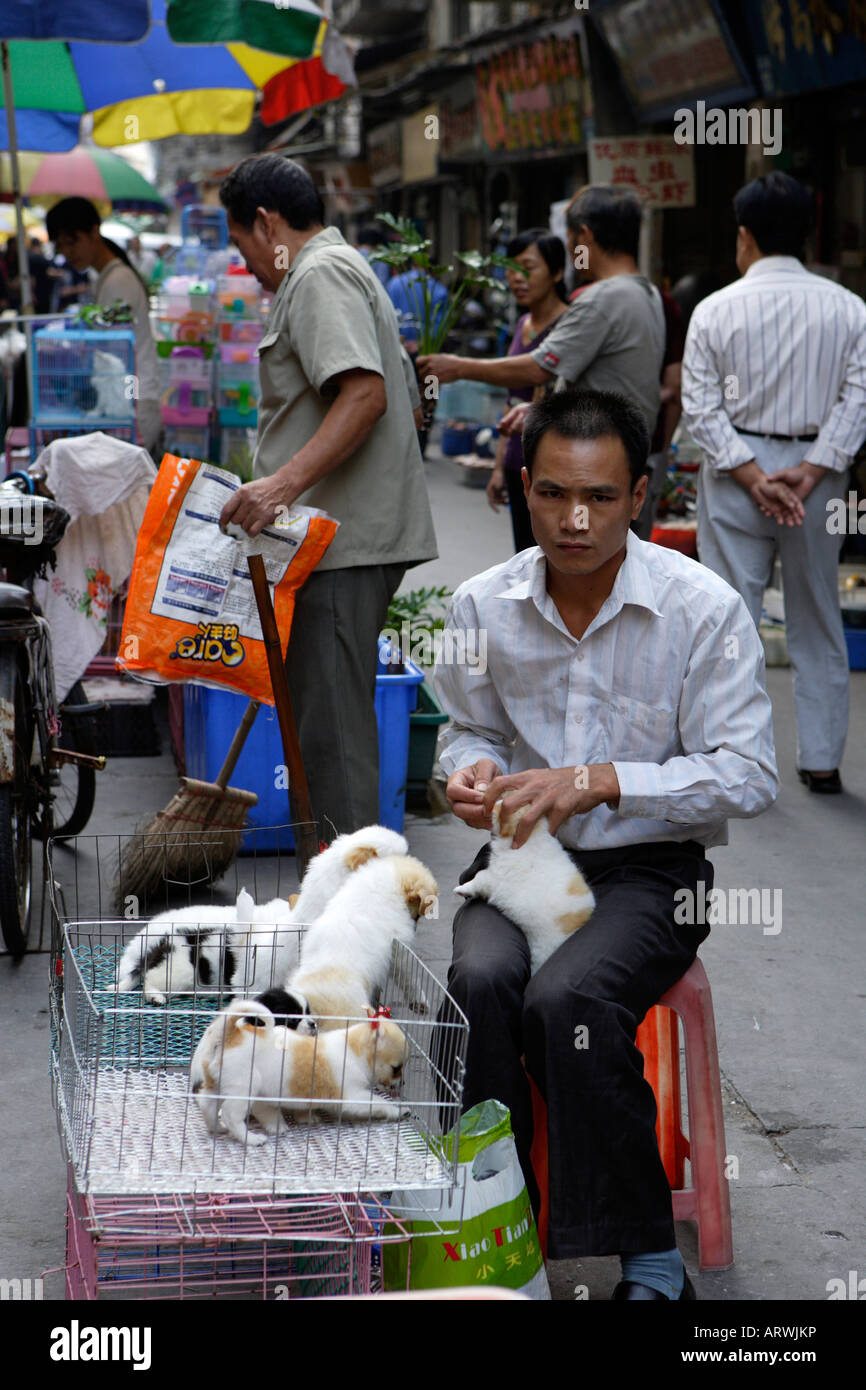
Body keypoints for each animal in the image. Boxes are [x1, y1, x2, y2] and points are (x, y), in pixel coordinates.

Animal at [453, 800, 594, 973]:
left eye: (503, 809)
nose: (495, 804)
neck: (533, 834)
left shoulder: (495, 877)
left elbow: (478, 878)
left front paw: (461, 889)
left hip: (541, 950)